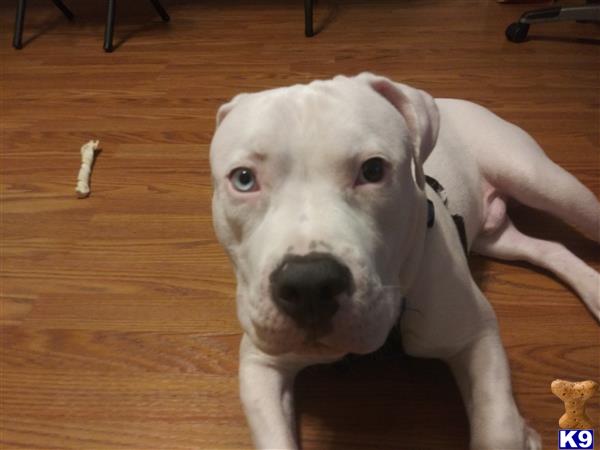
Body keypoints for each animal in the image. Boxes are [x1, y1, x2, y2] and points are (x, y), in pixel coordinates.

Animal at [209, 74, 596, 450]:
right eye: (243, 178)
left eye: (373, 170)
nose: (309, 285)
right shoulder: (260, 365)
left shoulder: (477, 334)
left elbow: (497, 428)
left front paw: (516, 431)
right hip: (497, 238)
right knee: (548, 248)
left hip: (541, 181)